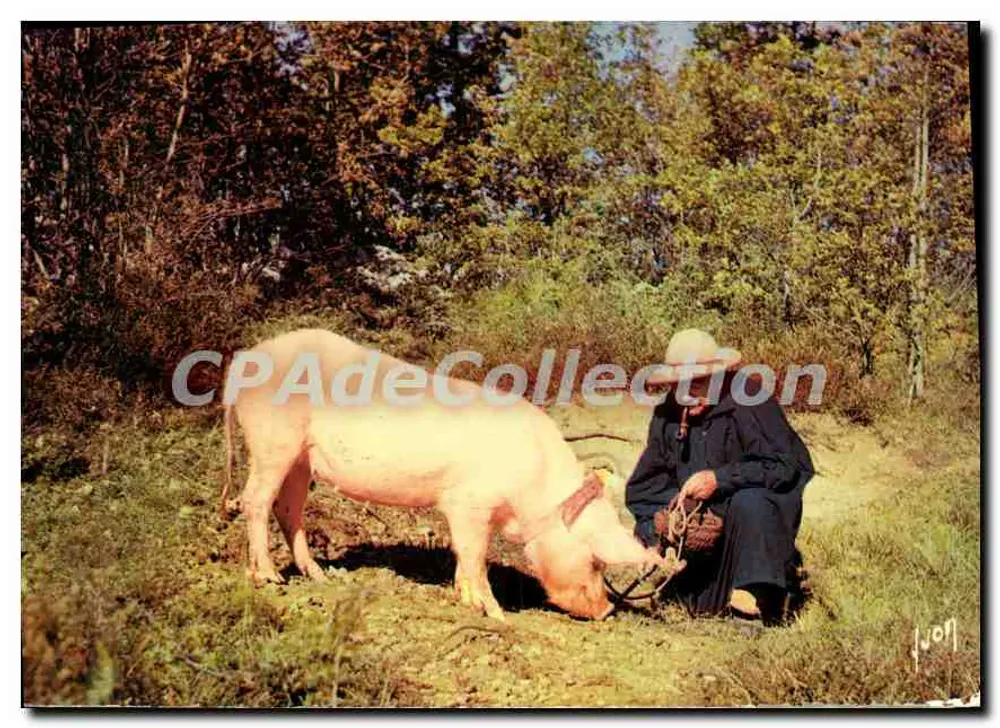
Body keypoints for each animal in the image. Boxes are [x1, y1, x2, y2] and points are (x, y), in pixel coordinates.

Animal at [220, 328, 662, 621]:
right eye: (596, 561)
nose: (606, 611)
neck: (533, 493)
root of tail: (244, 360)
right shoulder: (471, 504)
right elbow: (476, 555)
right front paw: (496, 613)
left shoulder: (461, 508)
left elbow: (462, 555)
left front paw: (465, 599)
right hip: (272, 442)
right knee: (255, 500)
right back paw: (269, 578)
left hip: (301, 458)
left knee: (288, 509)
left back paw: (319, 576)